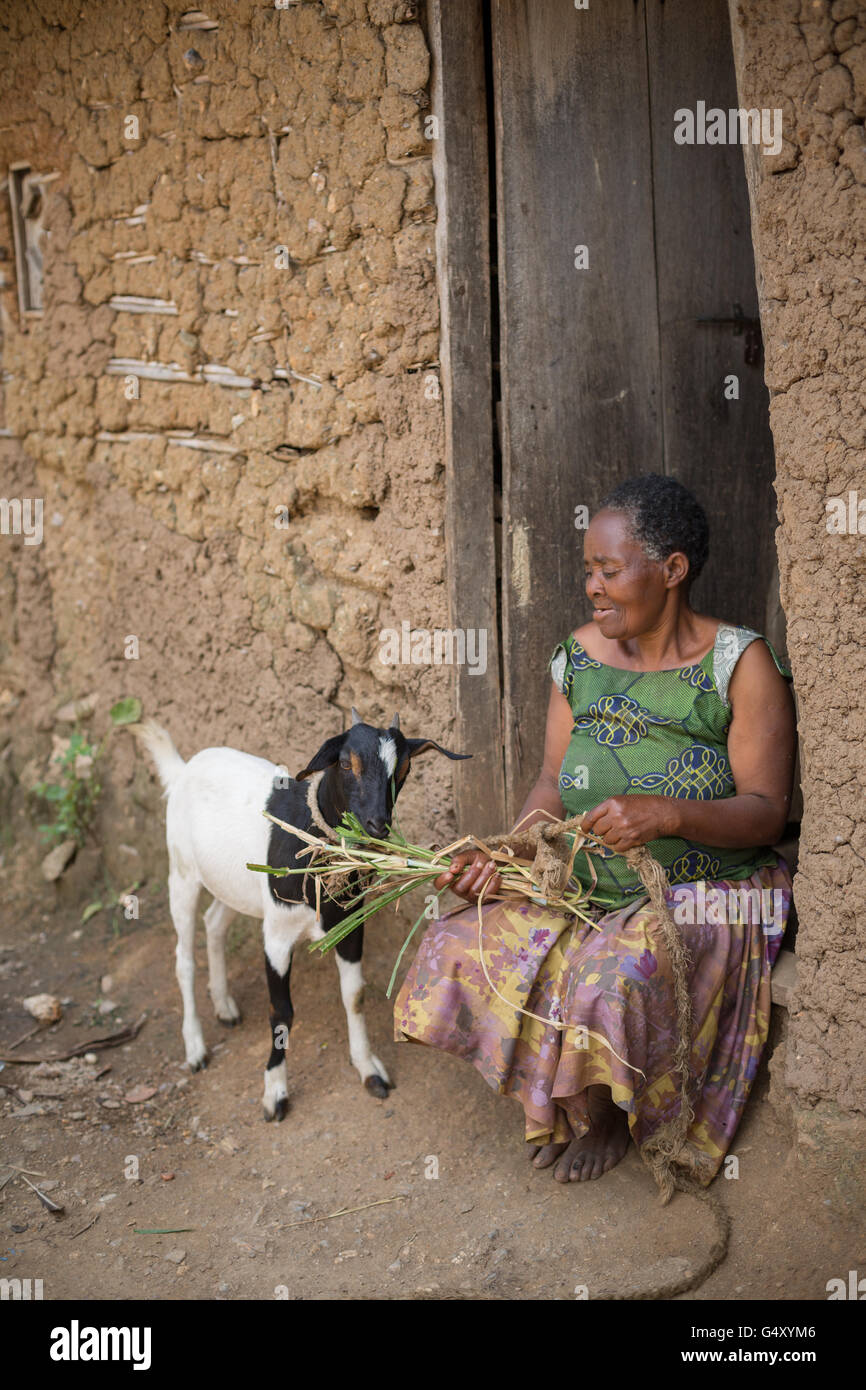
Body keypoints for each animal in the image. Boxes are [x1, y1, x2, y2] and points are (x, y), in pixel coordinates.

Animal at [132, 717, 467, 1117]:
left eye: (404, 770)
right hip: (181, 871)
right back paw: (196, 1048)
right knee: (183, 957)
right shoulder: (277, 936)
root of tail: (184, 769)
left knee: (214, 923)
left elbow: (355, 996)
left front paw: (369, 1069)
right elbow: (281, 1011)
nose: (376, 825)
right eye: (345, 763)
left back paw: (224, 1006)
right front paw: (275, 1092)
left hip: (234, 882)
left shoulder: (349, 925)